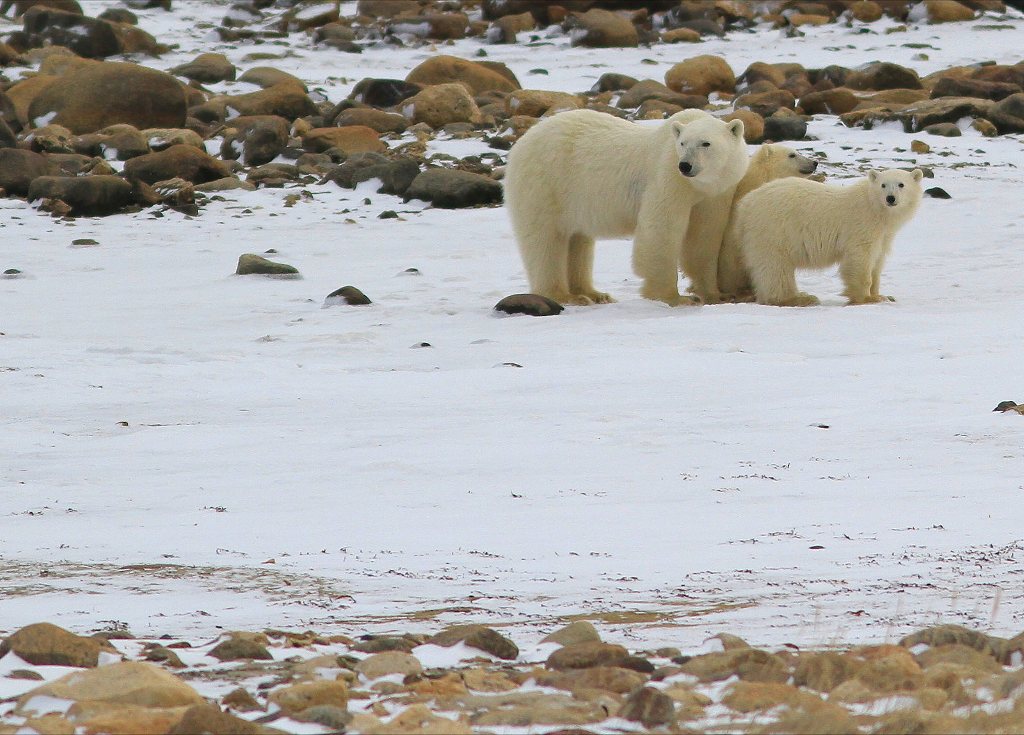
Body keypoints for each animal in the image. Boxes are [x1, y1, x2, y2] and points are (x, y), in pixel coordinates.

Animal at [503, 108, 749, 306]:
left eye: (706, 143)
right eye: (682, 144)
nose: (685, 165)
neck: (697, 185)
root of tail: (522, 142)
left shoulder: (715, 193)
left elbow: (704, 237)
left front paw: (716, 295)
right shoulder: (668, 177)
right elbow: (661, 229)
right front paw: (674, 298)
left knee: (578, 239)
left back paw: (594, 294)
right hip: (545, 183)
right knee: (545, 240)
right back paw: (565, 296)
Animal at [735, 168, 924, 306]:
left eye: (901, 184)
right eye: (883, 185)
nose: (890, 198)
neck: (876, 209)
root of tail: (745, 204)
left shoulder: (884, 235)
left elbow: (877, 262)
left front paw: (882, 295)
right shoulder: (861, 225)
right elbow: (860, 259)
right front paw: (867, 298)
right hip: (774, 228)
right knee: (775, 266)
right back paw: (800, 298)